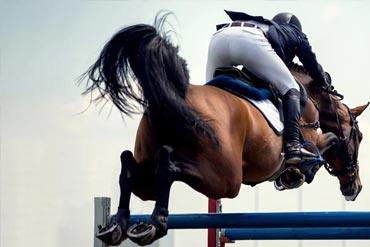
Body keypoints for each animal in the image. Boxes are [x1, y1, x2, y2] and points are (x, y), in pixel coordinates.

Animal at [83, 14, 368, 245]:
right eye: (360, 137)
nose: (355, 188)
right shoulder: (310, 135)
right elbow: (327, 143)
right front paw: (296, 173)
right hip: (225, 179)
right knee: (168, 164)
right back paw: (155, 224)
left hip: (151, 176)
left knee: (131, 168)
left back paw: (118, 226)